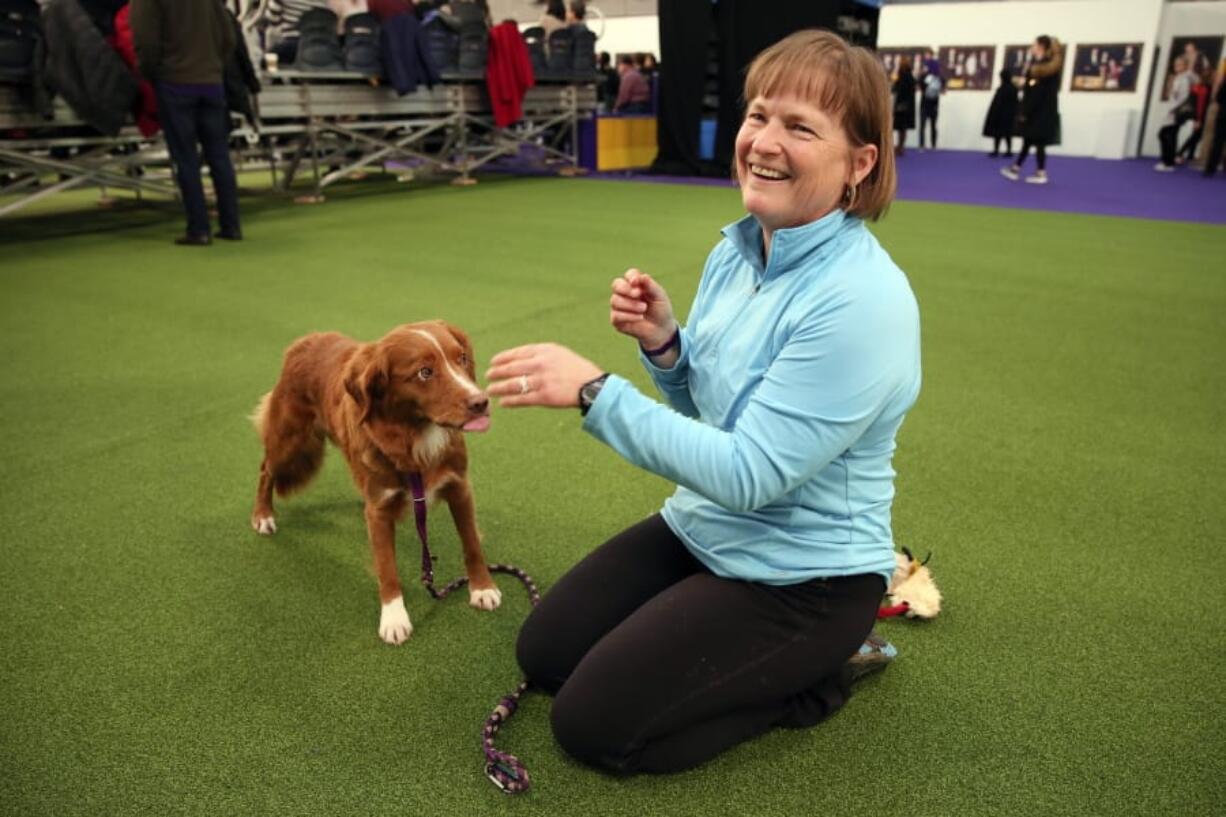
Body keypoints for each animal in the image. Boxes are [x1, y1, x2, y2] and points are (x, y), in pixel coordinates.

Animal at [248, 318, 497, 642]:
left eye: (462, 358)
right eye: (425, 372)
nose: (481, 402)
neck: (415, 436)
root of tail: (306, 341)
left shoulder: (459, 487)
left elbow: (471, 544)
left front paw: (483, 588)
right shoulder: (379, 510)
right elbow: (386, 567)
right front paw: (393, 617)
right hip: (289, 440)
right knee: (266, 469)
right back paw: (263, 515)